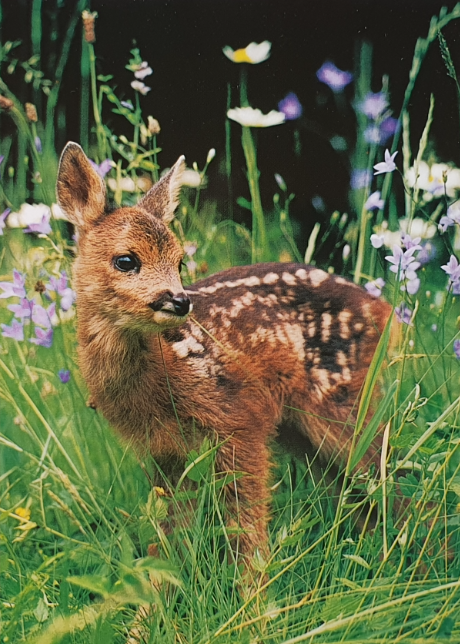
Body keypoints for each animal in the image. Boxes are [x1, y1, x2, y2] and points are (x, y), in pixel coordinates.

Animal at [56, 143, 392, 560]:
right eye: (126, 260)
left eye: (180, 260)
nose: (179, 301)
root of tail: (382, 309)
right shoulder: (164, 450)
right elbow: (172, 529)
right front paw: (164, 578)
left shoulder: (239, 418)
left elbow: (245, 522)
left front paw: (253, 580)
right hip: (301, 429)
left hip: (341, 400)